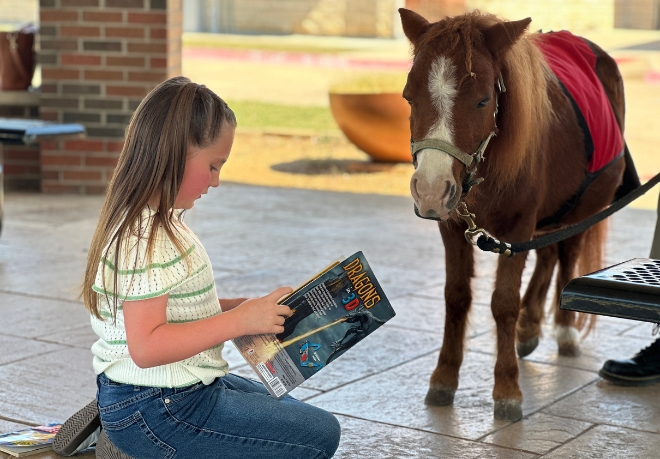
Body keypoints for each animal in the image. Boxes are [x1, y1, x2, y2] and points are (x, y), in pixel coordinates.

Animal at [398, 8, 639, 421]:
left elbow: (503, 304)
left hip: (583, 210)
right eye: (408, 97)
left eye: (483, 101)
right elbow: (456, 296)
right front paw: (444, 377)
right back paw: (530, 327)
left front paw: (507, 388)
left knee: (566, 255)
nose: (430, 188)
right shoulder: (453, 226)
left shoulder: (518, 229)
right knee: (548, 254)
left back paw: (562, 329)